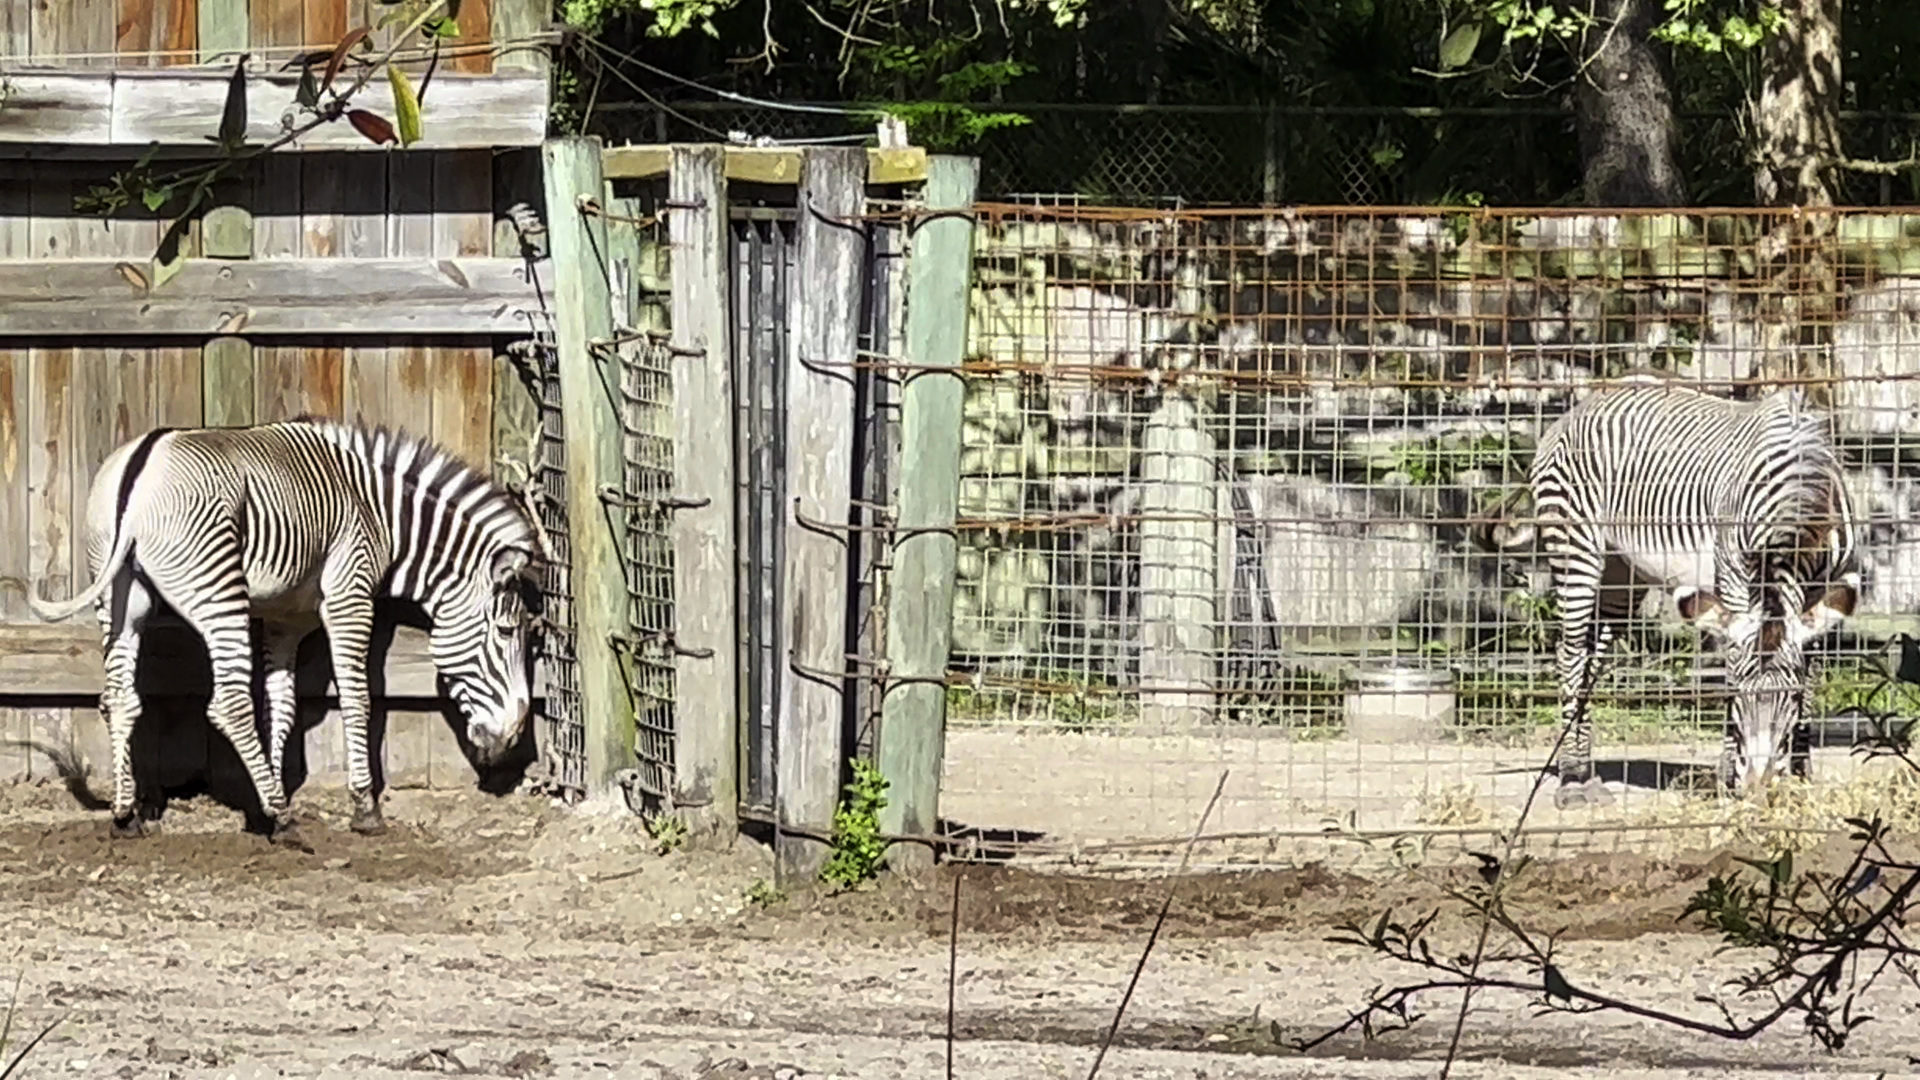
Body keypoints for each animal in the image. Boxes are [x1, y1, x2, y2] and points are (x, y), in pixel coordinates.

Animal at [13, 417, 548, 842]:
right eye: (506, 632)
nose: (512, 739)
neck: (381, 514)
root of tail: (140, 466)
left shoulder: (285, 619)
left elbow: (282, 703)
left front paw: (266, 796)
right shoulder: (350, 595)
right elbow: (358, 698)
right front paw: (361, 807)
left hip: (123, 596)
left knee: (120, 697)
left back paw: (128, 817)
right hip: (218, 590)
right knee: (228, 703)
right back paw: (284, 818)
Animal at [1476, 378, 1860, 810]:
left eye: (1790, 699)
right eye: (1735, 699)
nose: (1757, 790)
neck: (1798, 499)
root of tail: (1583, 403)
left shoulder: (1822, 594)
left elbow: (1812, 679)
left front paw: (1799, 776)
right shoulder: (1732, 582)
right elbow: (1732, 666)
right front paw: (1728, 776)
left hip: (1623, 573)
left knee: (1593, 655)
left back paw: (1587, 772)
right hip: (1575, 544)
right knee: (1570, 653)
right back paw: (1572, 778)